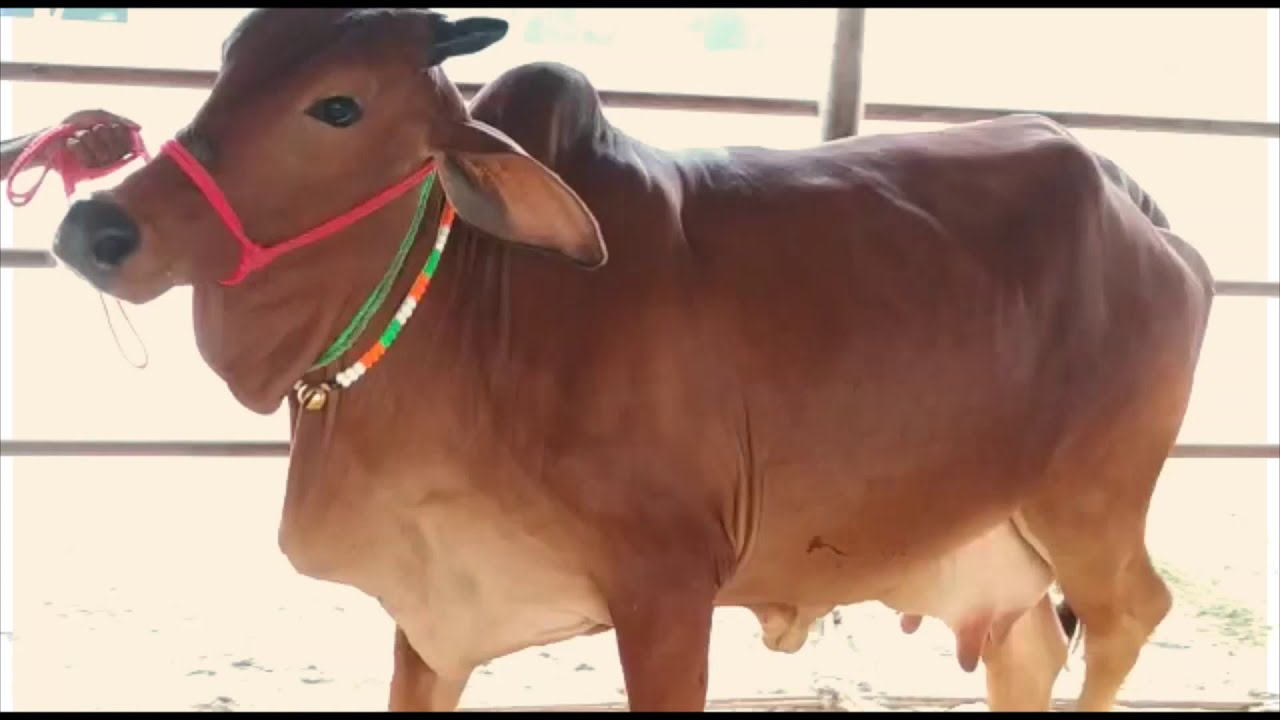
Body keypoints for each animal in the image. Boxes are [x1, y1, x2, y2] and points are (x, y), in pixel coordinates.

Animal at [50, 8, 1215, 712]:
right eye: (226, 63)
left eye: (337, 105)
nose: (97, 228)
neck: (471, 309)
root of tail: (1136, 204)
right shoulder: (429, 606)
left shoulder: (667, 590)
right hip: (997, 533)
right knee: (1030, 648)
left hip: (1091, 502)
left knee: (1128, 619)